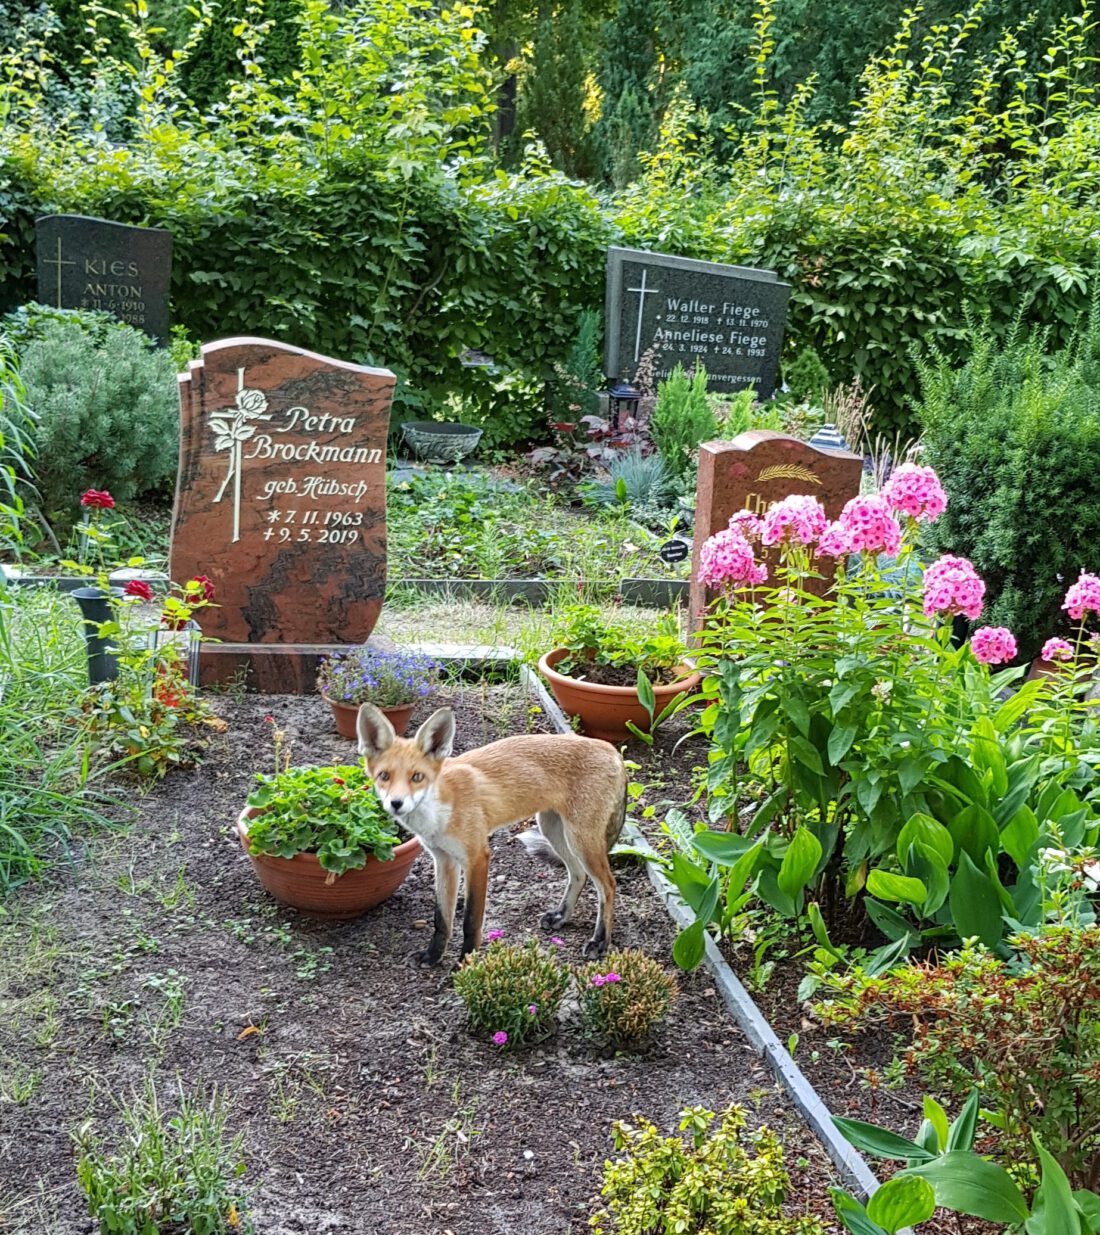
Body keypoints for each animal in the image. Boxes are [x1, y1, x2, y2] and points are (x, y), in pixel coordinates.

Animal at [358, 706, 624, 963]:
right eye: (384, 776)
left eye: (417, 777)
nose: (396, 803)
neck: (440, 813)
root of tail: (613, 750)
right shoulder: (444, 860)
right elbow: (441, 919)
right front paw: (432, 956)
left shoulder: (477, 858)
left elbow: (470, 922)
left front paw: (466, 964)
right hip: (554, 831)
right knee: (579, 875)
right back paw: (561, 916)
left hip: (581, 841)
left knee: (608, 886)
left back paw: (600, 942)